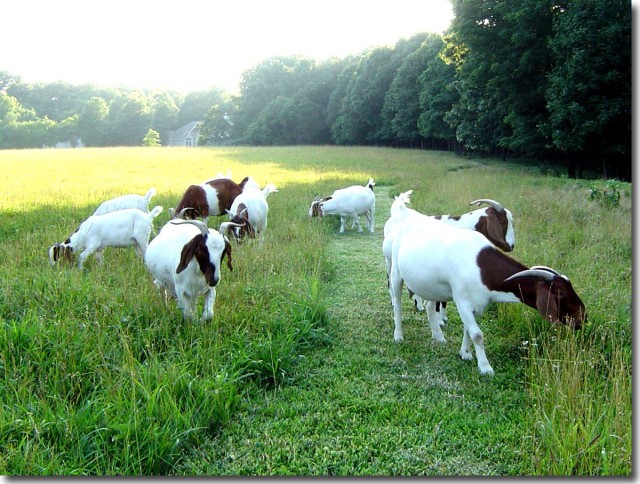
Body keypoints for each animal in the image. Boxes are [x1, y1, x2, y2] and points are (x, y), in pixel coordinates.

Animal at [388, 199, 588, 376]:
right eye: (560, 293)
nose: (583, 317)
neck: (481, 266)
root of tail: (406, 216)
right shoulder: (462, 301)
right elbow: (477, 334)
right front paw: (485, 368)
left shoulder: (478, 303)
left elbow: (468, 330)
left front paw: (465, 354)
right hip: (396, 271)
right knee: (397, 303)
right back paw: (398, 335)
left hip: (432, 286)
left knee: (430, 306)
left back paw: (438, 337)